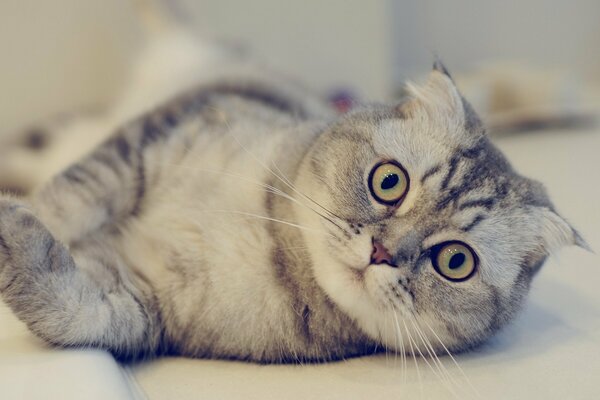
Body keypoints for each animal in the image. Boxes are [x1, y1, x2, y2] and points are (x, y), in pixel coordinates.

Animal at [0, 59, 584, 362]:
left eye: (455, 262)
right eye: (388, 182)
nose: (382, 252)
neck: (270, 246)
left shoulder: (141, 303)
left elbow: (73, 310)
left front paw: (16, 231)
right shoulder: (156, 134)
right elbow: (72, 198)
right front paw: (32, 210)